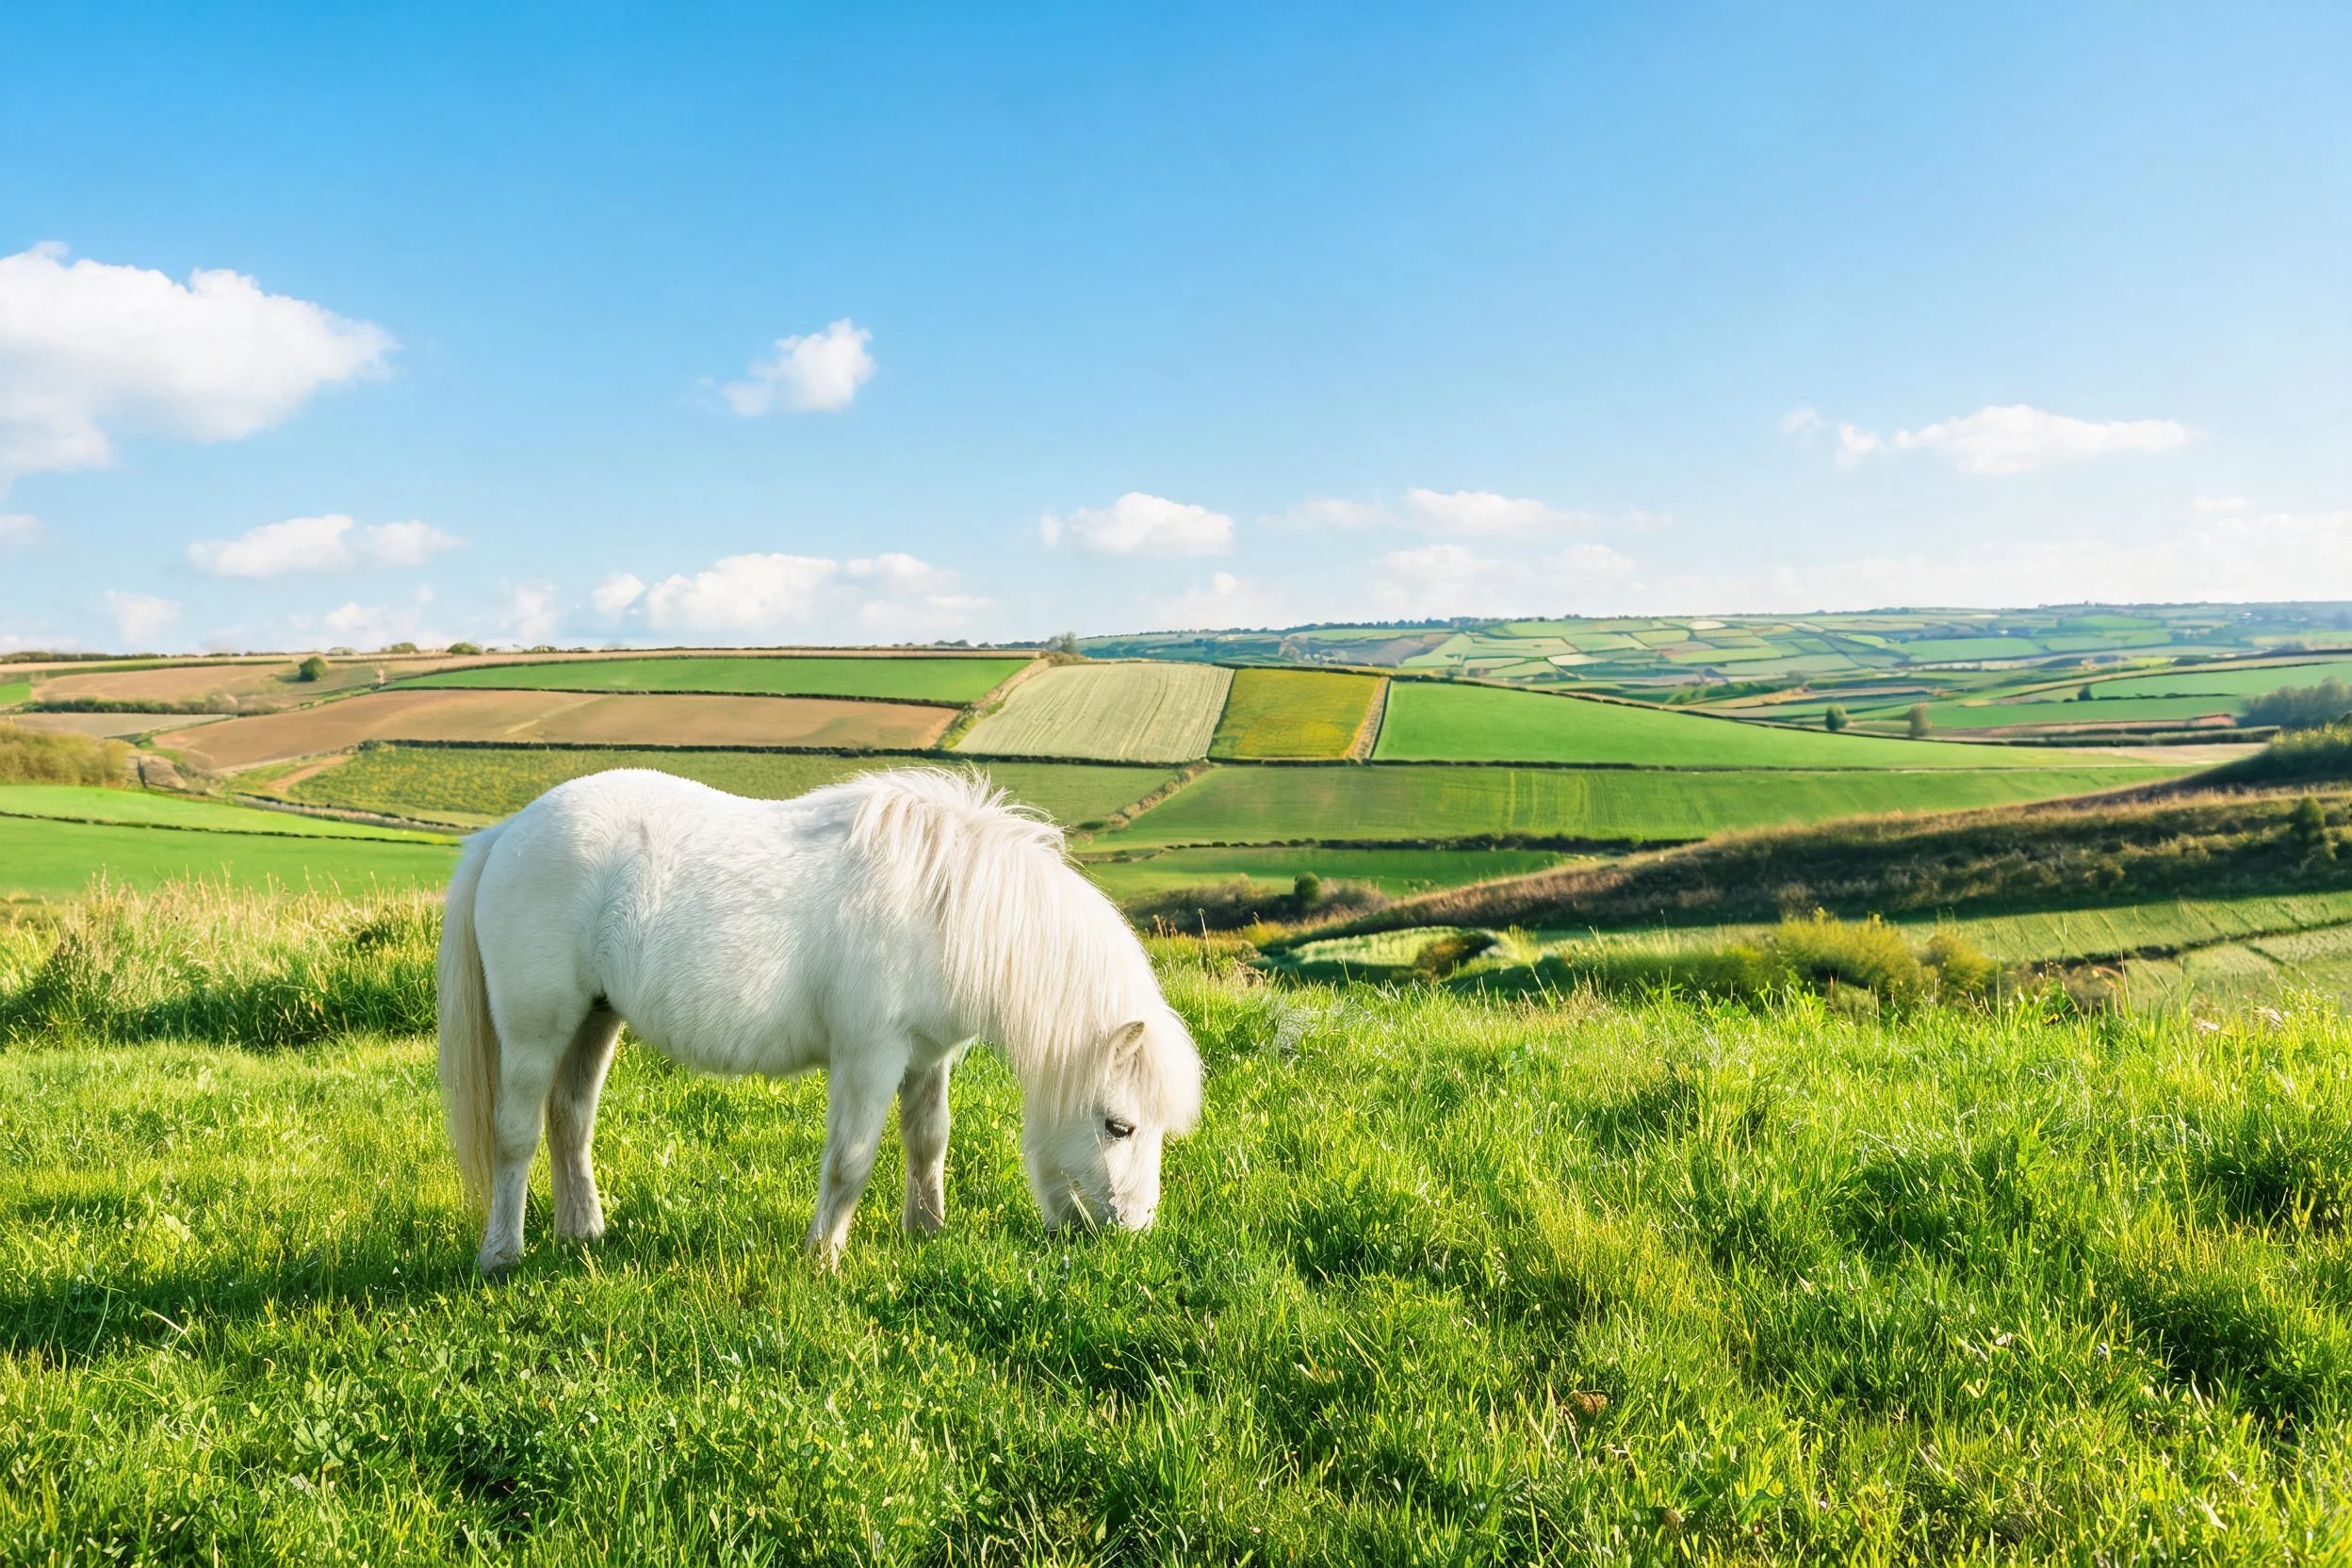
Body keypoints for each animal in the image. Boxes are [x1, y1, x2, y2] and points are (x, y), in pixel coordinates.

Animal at [436, 767, 1203, 1276]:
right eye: (1119, 1126)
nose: (1137, 1229)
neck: (945, 905)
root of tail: (505, 834)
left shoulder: (928, 1056)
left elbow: (928, 1142)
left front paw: (927, 1233)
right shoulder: (870, 1057)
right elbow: (851, 1159)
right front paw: (823, 1258)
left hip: (597, 1019)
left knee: (570, 1118)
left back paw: (583, 1233)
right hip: (535, 1030)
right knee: (516, 1134)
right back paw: (502, 1254)